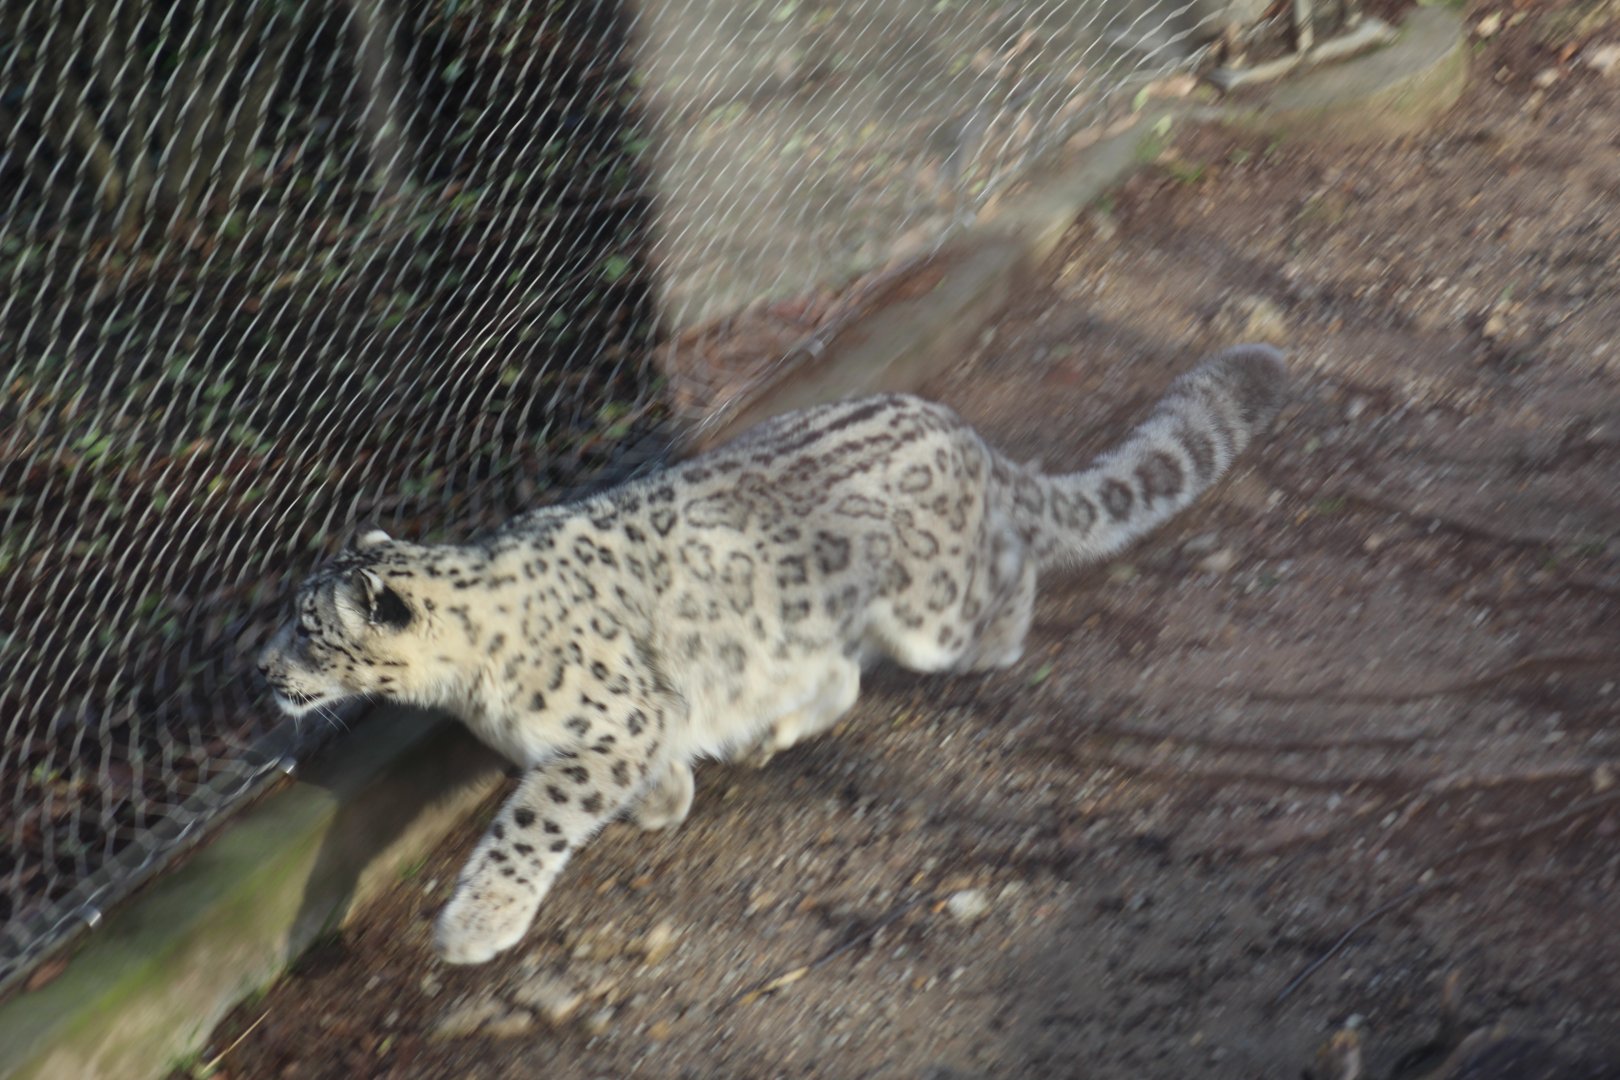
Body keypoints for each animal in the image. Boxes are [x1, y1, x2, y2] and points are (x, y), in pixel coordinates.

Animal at [258, 343, 1286, 965]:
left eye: (309, 626)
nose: (262, 669)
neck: (469, 687)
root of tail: (964, 433)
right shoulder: (644, 717)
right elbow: (647, 762)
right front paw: (665, 798)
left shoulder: (611, 720)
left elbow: (533, 819)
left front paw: (478, 921)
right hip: (800, 630)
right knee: (836, 672)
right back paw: (765, 736)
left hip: (934, 611)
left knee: (1005, 583)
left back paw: (998, 635)